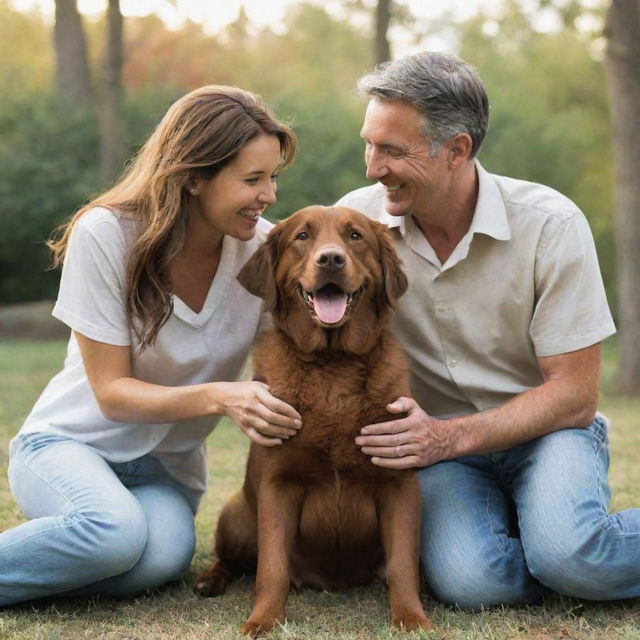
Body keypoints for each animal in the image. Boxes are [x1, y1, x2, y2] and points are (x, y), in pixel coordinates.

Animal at [196, 206, 430, 636]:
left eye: (355, 236)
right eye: (302, 237)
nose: (331, 259)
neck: (333, 366)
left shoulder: (399, 482)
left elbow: (404, 565)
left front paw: (411, 617)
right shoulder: (278, 484)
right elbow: (271, 567)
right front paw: (262, 620)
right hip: (237, 518)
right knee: (233, 560)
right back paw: (210, 580)